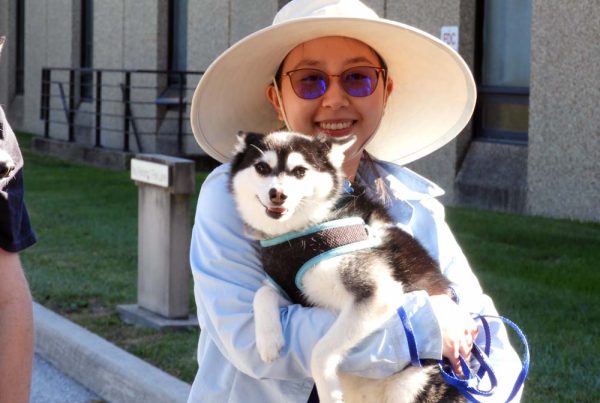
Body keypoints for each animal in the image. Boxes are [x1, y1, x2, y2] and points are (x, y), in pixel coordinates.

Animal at [229, 131, 465, 403]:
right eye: (262, 168)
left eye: (299, 171)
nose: (277, 194)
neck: (300, 233)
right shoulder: (289, 288)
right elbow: (262, 292)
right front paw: (268, 339)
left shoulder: (376, 294)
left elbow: (320, 352)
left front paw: (327, 392)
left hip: (411, 387)